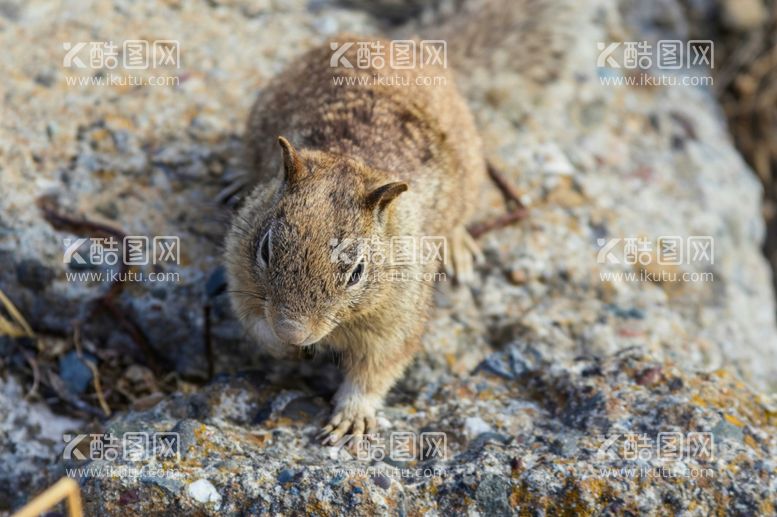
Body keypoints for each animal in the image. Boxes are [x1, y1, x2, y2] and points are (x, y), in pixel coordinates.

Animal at [221, 34, 482, 442]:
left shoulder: (397, 318)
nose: (292, 332)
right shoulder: (239, 269)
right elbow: (253, 321)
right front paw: (281, 346)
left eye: (357, 272)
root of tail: (395, 44)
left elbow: (376, 371)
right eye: (266, 249)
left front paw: (351, 419)